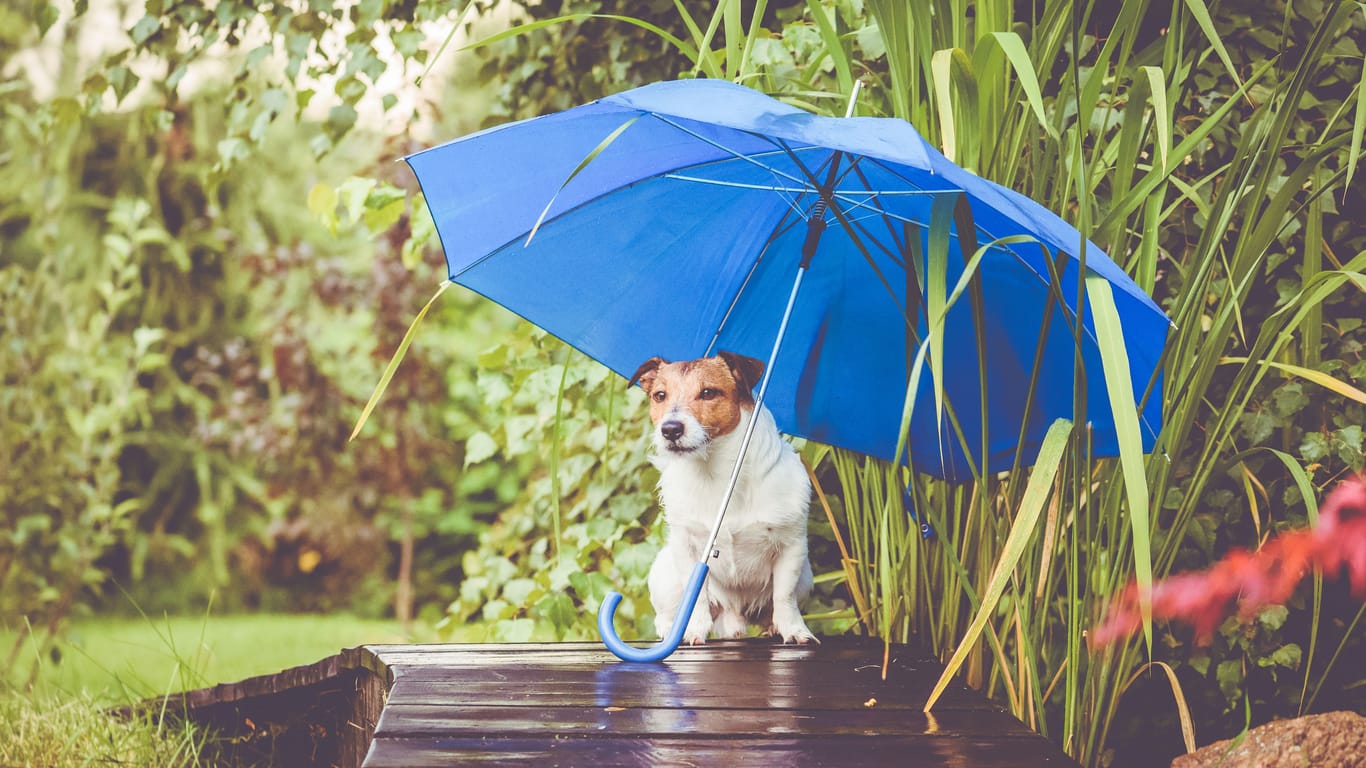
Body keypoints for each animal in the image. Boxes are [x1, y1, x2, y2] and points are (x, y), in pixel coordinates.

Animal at [625, 349, 808, 642]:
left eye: (708, 392)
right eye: (660, 395)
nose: (670, 429)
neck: (717, 475)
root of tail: (733, 613)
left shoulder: (792, 547)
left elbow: (784, 597)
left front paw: (793, 630)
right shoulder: (686, 547)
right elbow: (697, 595)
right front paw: (694, 629)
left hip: (806, 576)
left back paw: (769, 628)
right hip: (664, 574)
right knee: (665, 613)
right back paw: (671, 629)